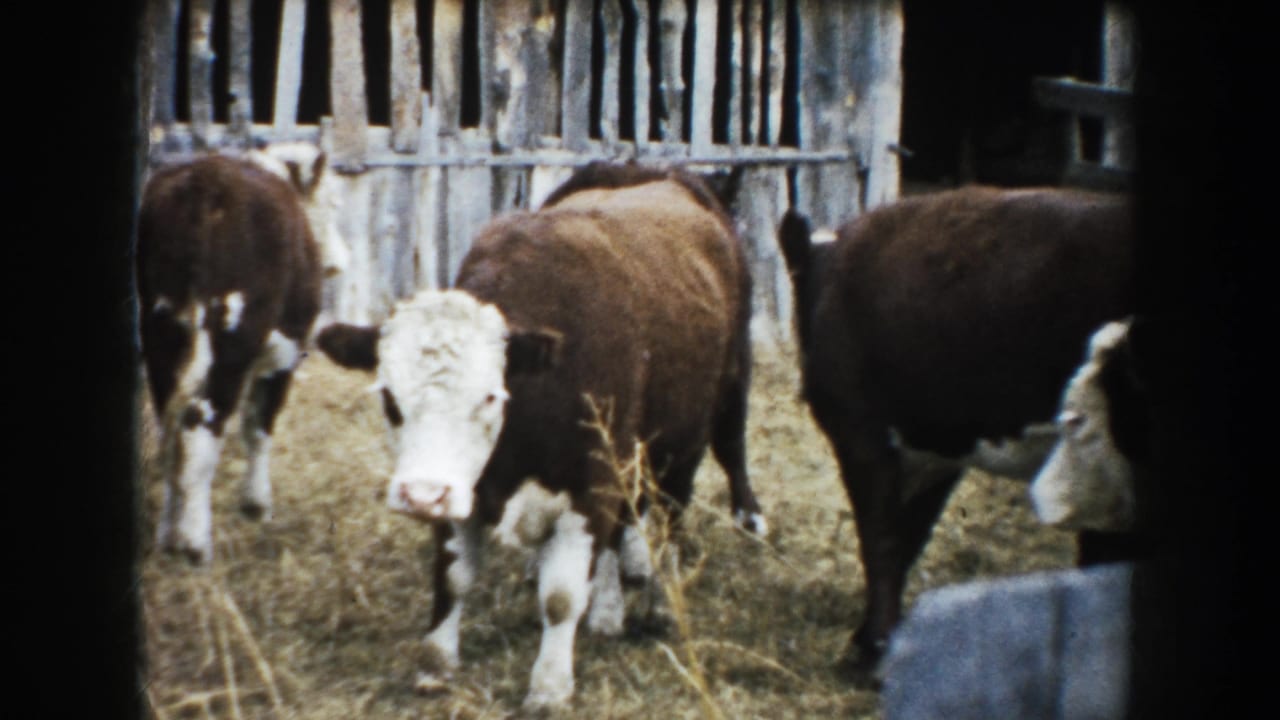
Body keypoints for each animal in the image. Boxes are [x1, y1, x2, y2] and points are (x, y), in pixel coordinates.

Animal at [137, 145, 341, 564]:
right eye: (333, 202)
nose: (338, 263)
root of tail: (206, 180)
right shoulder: (283, 354)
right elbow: (258, 427)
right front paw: (256, 503)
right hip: (230, 342)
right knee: (199, 423)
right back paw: (195, 545)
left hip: (160, 332)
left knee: (171, 430)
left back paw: (169, 536)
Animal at [314, 162, 765, 708]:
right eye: (389, 396)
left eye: (490, 396)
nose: (421, 494)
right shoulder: (465, 488)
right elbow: (453, 577)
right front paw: (437, 662)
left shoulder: (589, 488)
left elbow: (562, 596)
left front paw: (550, 685)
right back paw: (611, 608)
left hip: (696, 428)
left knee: (678, 511)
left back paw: (662, 599)